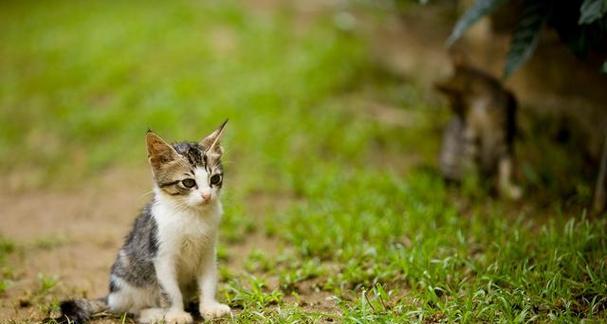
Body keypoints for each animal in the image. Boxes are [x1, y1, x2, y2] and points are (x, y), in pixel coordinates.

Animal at [48, 121, 230, 324]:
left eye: (215, 178)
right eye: (188, 183)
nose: (207, 196)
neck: (191, 214)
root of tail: (111, 297)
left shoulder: (208, 252)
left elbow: (209, 282)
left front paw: (210, 308)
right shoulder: (162, 255)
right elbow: (171, 291)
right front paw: (176, 314)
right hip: (127, 280)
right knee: (134, 311)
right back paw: (156, 314)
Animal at [436, 54, 524, 199]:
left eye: (452, 106)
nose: (458, 118)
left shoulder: (504, 134)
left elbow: (505, 166)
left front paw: (507, 189)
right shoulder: (471, 135)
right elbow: (471, 166)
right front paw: (473, 189)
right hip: (449, 156)